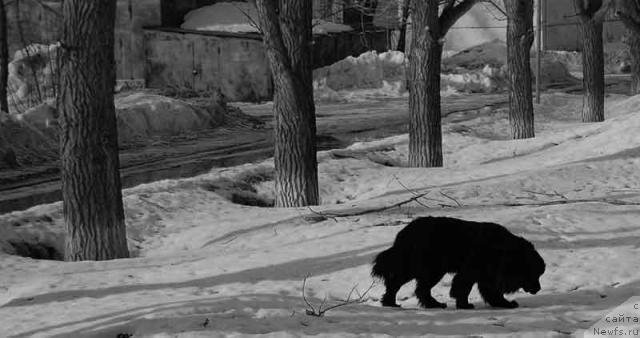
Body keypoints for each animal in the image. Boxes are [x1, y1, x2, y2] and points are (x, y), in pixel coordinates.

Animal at [370, 217, 544, 308]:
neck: (503, 250)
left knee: (400, 285)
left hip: (417, 267)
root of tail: (405, 233)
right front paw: (464, 305)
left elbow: (491, 292)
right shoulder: (471, 271)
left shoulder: (486, 275)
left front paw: (502, 303)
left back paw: (393, 303)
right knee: (415, 287)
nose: (539, 288)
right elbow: (463, 288)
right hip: (431, 269)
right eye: (534, 274)